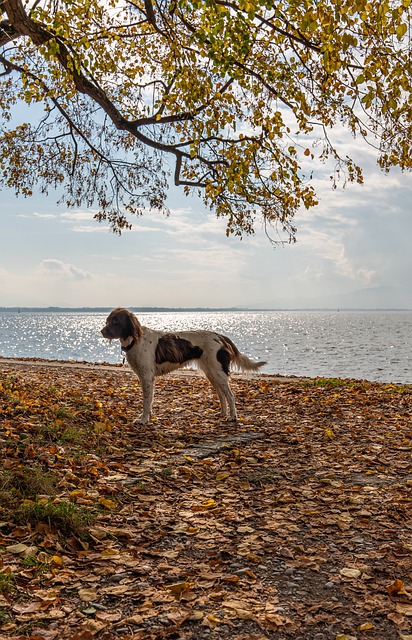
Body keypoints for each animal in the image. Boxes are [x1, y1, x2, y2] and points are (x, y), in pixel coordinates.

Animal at [101, 310, 266, 424]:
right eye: (108, 320)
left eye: (116, 321)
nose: (101, 331)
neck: (135, 340)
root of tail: (220, 336)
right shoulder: (147, 378)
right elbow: (149, 400)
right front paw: (147, 417)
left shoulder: (147, 377)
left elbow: (146, 402)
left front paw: (143, 420)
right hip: (211, 373)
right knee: (221, 394)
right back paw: (223, 413)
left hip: (218, 372)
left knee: (230, 395)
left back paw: (232, 417)